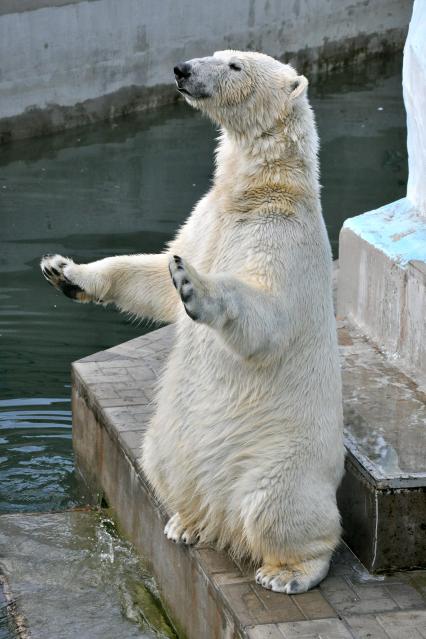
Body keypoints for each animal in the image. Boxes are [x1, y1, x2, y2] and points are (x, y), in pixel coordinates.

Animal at [41, 50, 344, 596]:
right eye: (221, 54)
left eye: (235, 65)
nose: (182, 69)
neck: (259, 190)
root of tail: (226, 517)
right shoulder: (207, 217)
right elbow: (152, 274)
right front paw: (65, 271)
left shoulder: (282, 235)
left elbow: (265, 312)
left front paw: (192, 284)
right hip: (168, 443)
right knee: (162, 465)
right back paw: (186, 522)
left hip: (281, 457)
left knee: (281, 509)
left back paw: (287, 572)